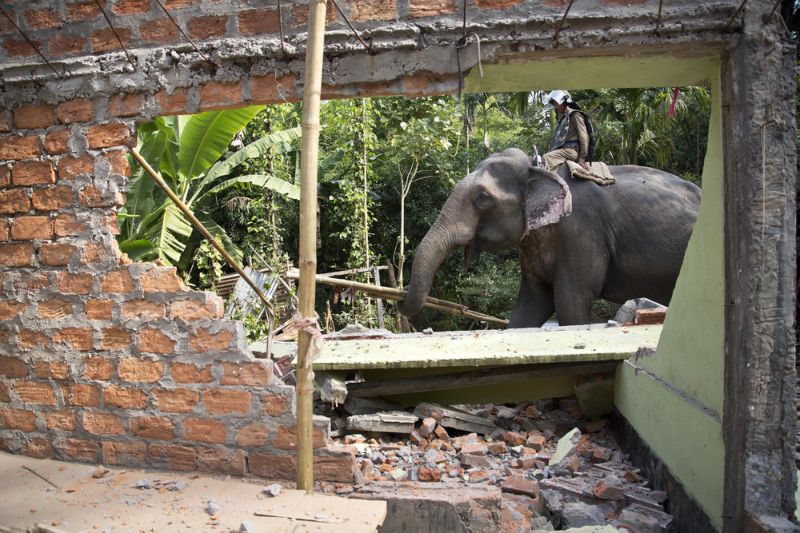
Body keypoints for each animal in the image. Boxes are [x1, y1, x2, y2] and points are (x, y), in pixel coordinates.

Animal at [400, 147, 700, 328]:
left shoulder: (580, 232)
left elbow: (571, 305)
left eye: (483, 197)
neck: (540, 168)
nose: (400, 295)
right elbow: (530, 307)